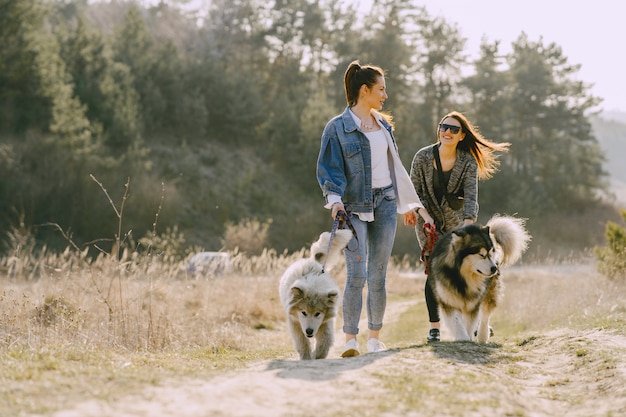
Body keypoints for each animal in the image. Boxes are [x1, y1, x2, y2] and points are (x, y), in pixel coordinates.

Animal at [278, 229, 352, 360]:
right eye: (303, 312)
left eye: (318, 313)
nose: (309, 331)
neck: (312, 285)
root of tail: (312, 260)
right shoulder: (295, 322)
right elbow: (302, 342)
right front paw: (307, 357)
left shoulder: (326, 323)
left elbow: (324, 342)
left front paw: (317, 356)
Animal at [428, 214, 528, 342]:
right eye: (481, 255)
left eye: (491, 253)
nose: (494, 268)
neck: (461, 277)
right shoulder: (448, 300)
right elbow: (456, 321)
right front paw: (463, 337)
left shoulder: (473, 303)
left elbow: (471, 322)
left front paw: (469, 337)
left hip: (489, 292)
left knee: (485, 315)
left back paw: (483, 335)